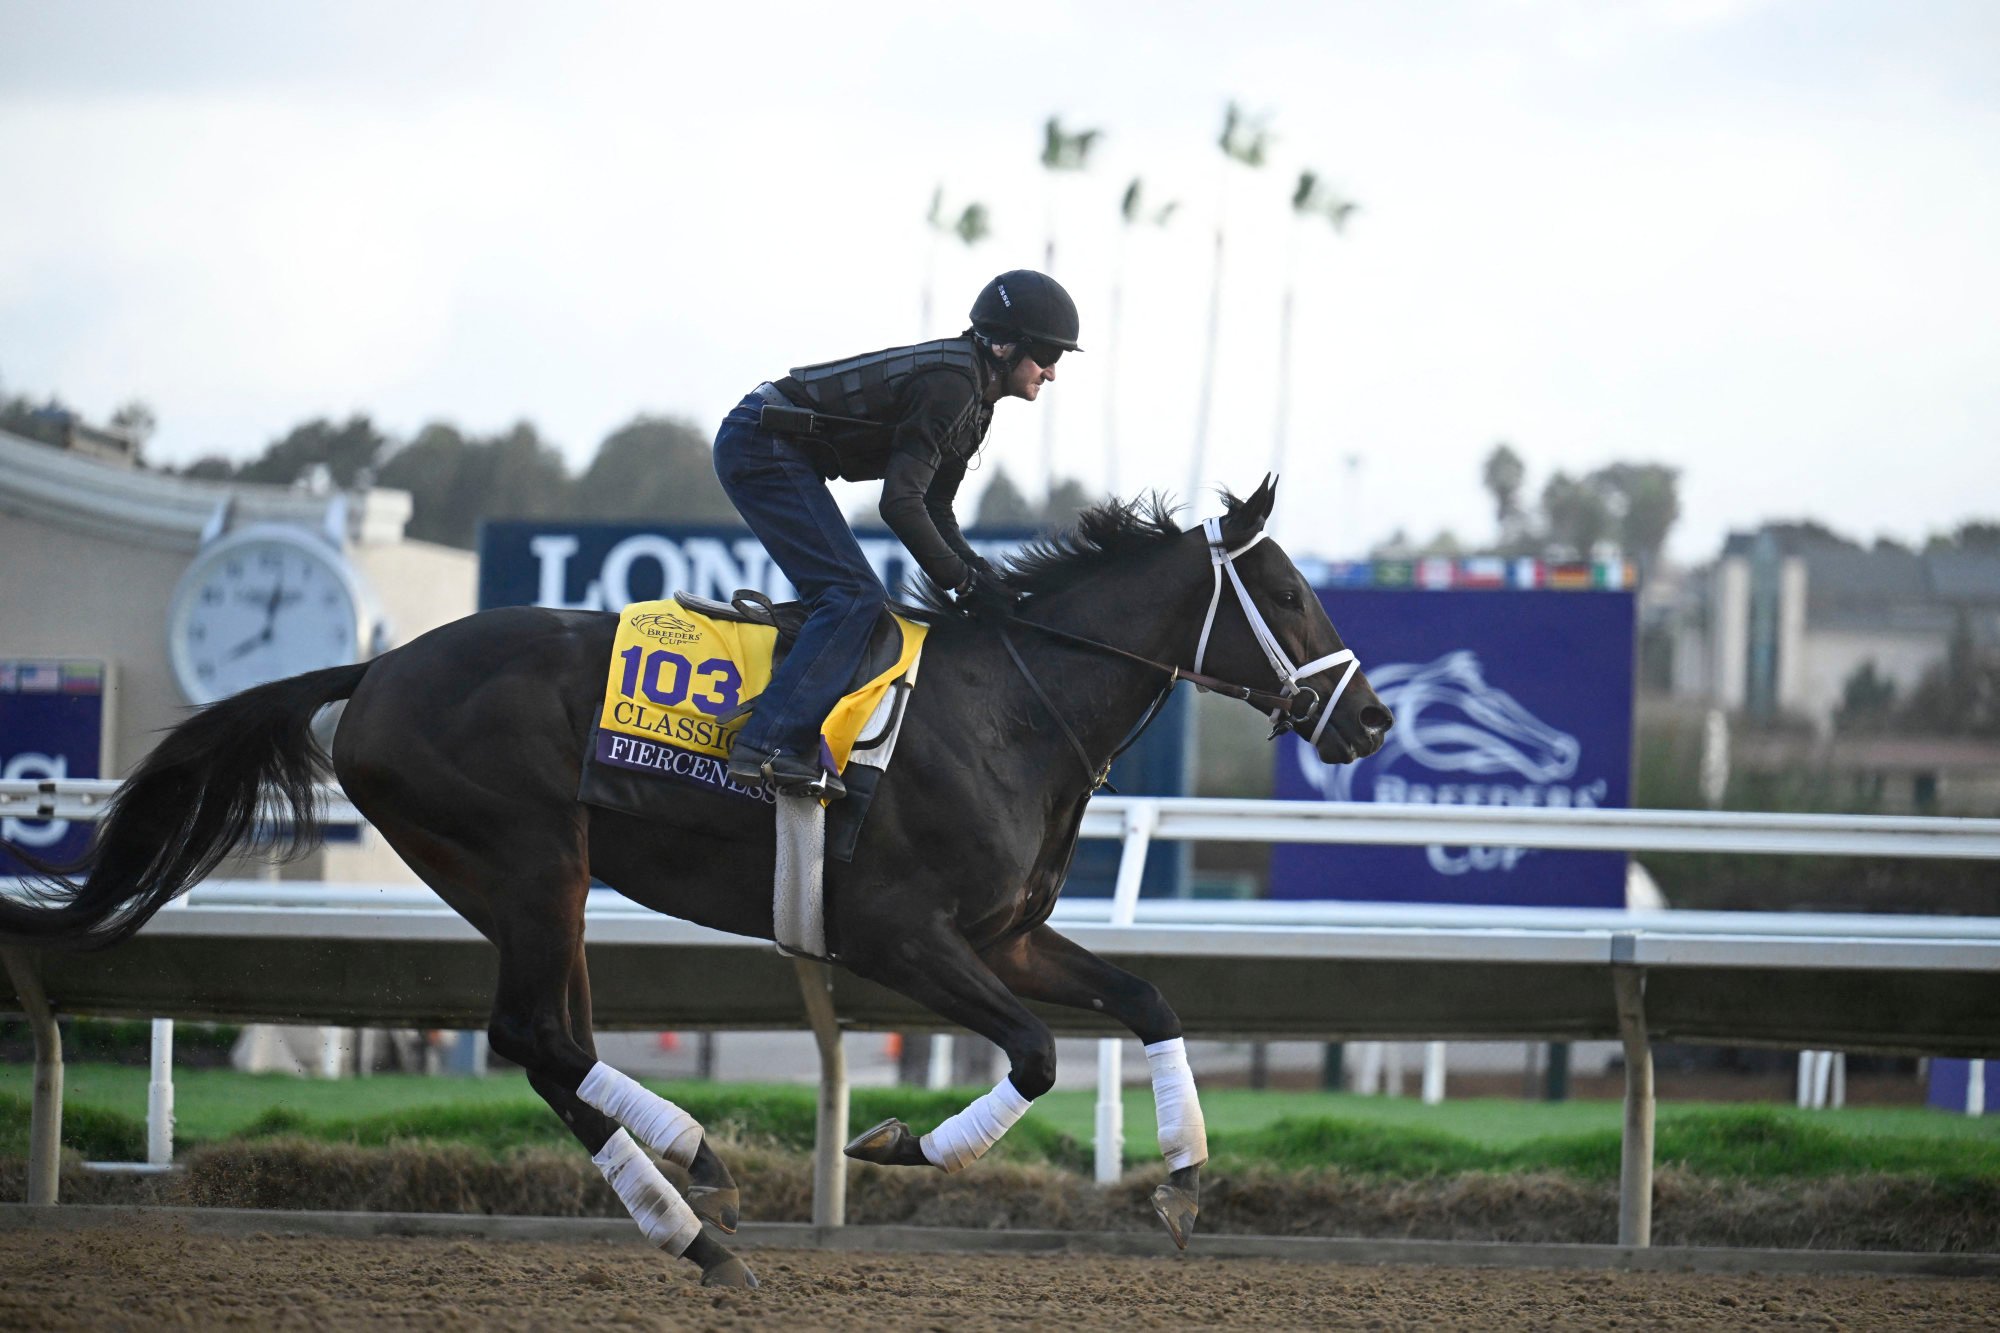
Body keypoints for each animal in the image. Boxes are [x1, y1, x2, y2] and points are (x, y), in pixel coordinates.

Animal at [3, 478, 1392, 1280]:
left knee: (549, 1044)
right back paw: (693, 1181)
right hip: (526, 859)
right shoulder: (895, 933)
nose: (1370, 719)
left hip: (530, 879)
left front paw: (1183, 1180)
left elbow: (1148, 998)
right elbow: (1040, 1054)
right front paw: (897, 1144)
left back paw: (697, 1225)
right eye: (1283, 588)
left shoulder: (1003, 937)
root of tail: (377, 668)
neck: (1009, 706)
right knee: (537, 1036)